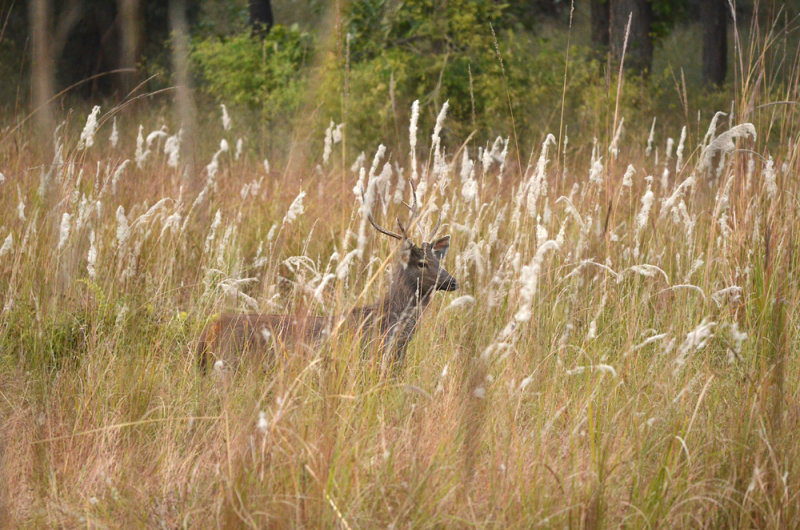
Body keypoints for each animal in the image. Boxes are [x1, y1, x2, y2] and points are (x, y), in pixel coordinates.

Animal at [197, 184, 456, 374]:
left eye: (438, 259)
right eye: (421, 263)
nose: (453, 281)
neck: (390, 326)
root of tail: (209, 330)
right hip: (228, 366)